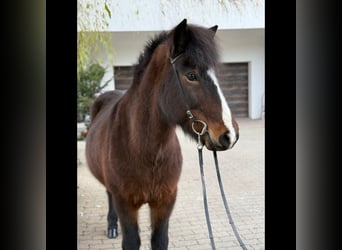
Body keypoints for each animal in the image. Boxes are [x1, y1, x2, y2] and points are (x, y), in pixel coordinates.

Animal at [86, 18, 238, 249]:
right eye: (191, 75)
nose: (230, 134)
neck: (146, 151)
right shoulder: (126, 204)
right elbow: (131, 240)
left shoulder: (164, 203)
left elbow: (159, 240)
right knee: (108, 195)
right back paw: (112, 226)